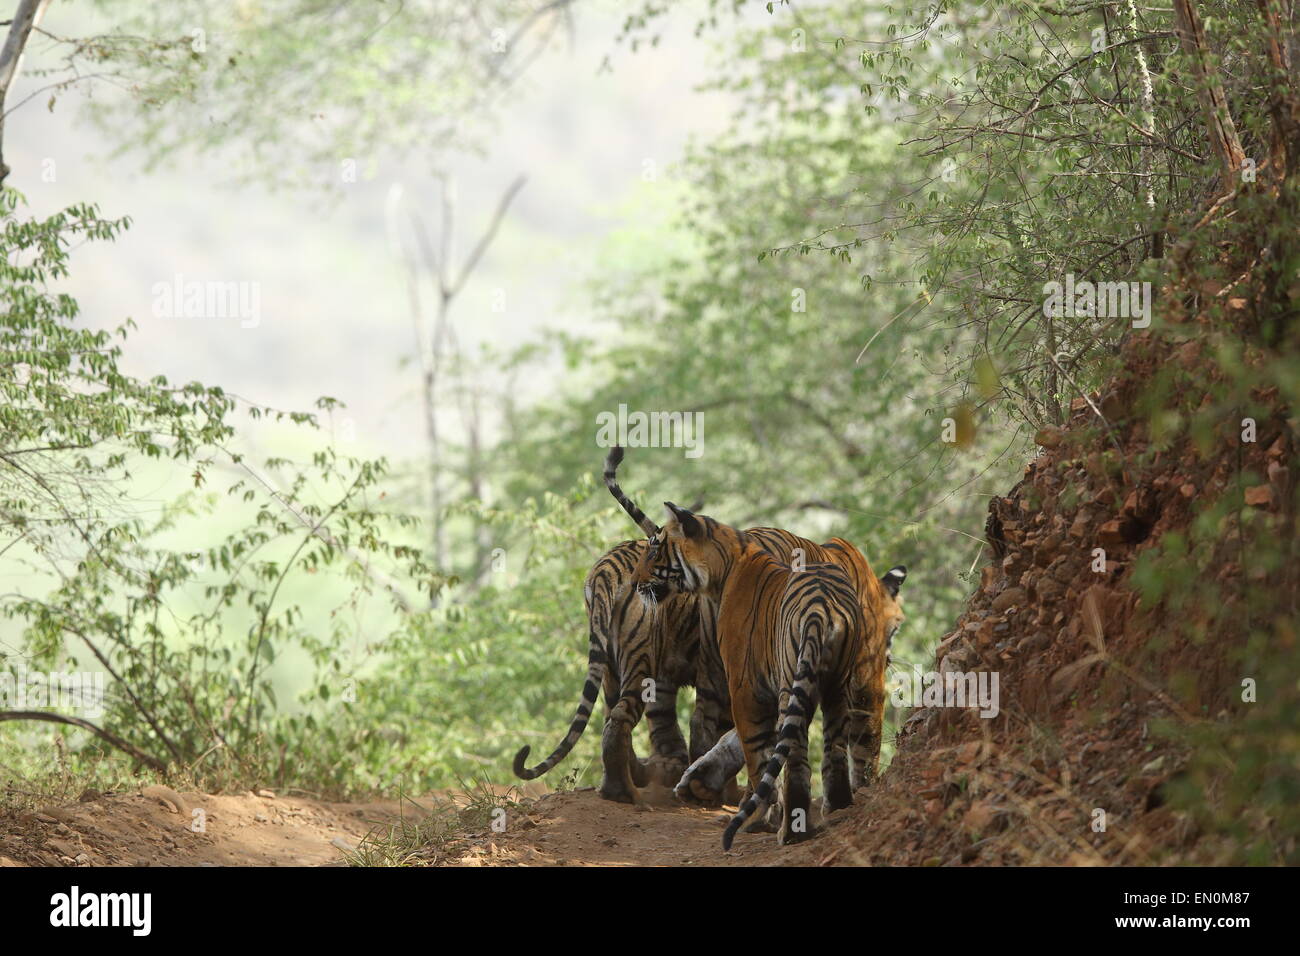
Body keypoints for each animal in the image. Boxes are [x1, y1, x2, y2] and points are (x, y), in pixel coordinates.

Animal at [629, 504, 904, 848]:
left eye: (655, 550)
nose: (633, 581)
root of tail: (821, 608)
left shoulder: (747, 685)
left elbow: (756, 752)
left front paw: (757, 813)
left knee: (797, 753)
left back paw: (791, 828)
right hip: (828, 685)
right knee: (832, 749)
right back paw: (835, 807)